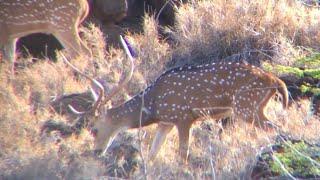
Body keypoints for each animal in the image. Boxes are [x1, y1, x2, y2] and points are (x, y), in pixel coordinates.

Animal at [42, 37, 288, 163]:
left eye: (94, 128)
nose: (96, 151)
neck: (153, 106)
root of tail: (275, 81)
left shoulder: (183, 116)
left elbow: (182, 155)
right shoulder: (166, 122)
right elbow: (151, 154)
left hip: (247, 107)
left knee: (277, 128)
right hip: (252, 107)